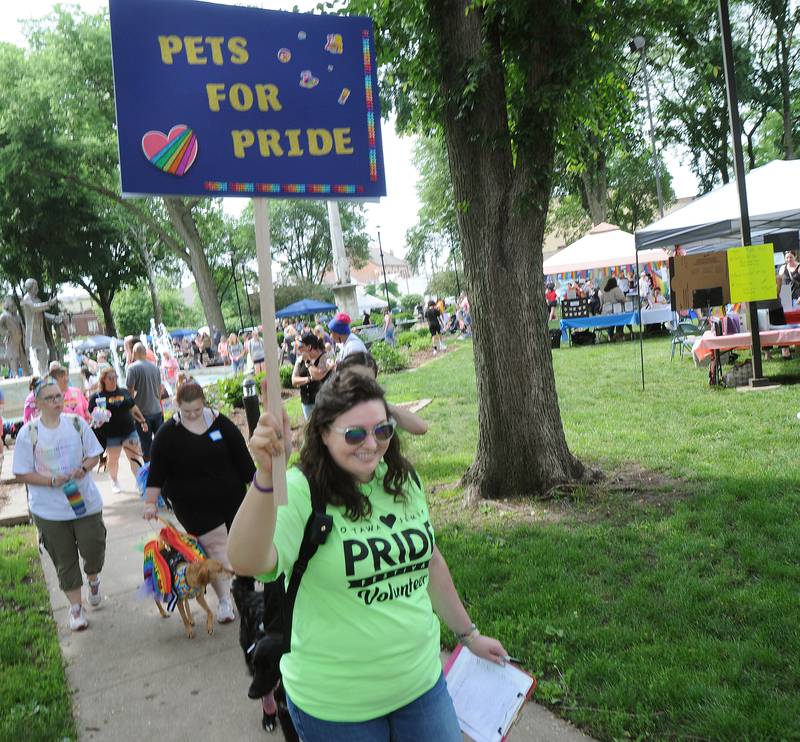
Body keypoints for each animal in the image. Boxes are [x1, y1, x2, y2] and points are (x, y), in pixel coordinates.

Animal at [230, 580, 298, 740]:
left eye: (271, 667)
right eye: (256, 666)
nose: (251, 694)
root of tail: (251, 594)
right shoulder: (285, 713)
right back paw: (268, 719)